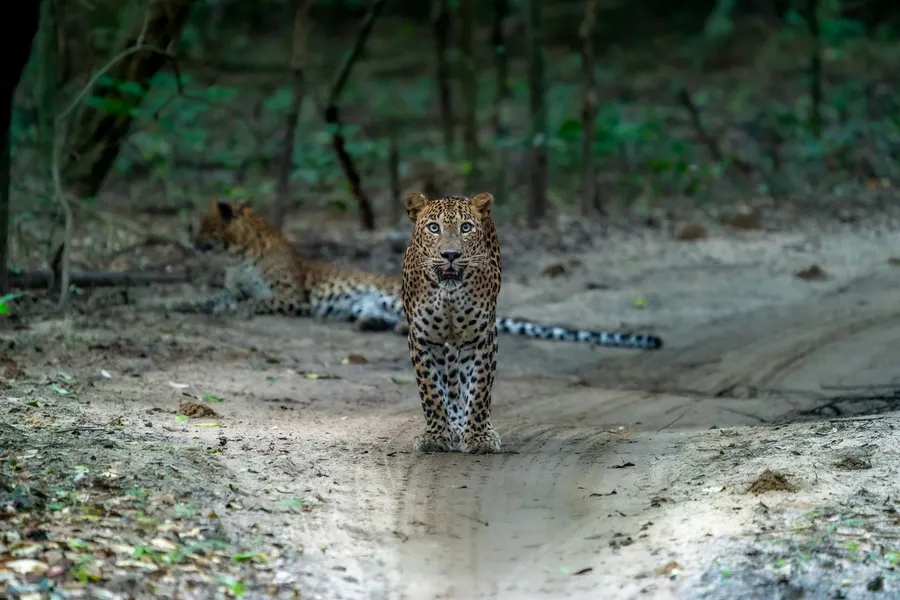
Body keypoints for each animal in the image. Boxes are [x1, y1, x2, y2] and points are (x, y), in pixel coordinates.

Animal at [175, 200, 664, 353]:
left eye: (205, 226)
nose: (191, 241)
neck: (237, 255)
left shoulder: (290, 296)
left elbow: (254, 300)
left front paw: (235, 312)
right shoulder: (228, 287)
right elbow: (215, 299)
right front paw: (179, 303)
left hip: (403, 296)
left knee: (417, 321)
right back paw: (367, 323)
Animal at [402, 192, 503, 454]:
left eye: (465, 227)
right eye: (433, 227)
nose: (450, 255)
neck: (449, 293)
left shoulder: (481, 337)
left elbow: (479, 387)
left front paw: (479, 437)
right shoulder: (422, 337)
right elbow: (431, 389)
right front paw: (435, 436)